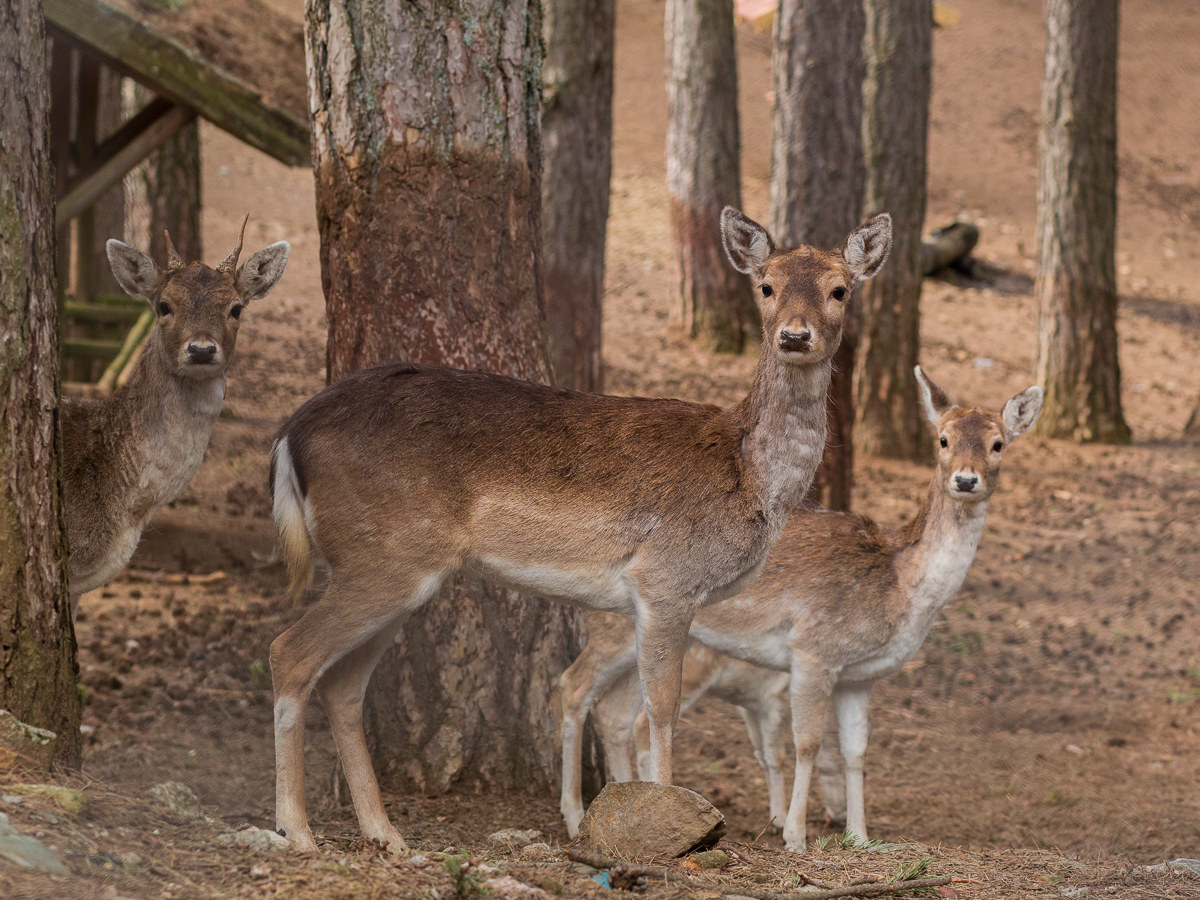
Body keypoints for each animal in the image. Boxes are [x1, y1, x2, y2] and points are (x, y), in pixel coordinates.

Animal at [270, 210, 892, 854]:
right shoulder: (666, 577)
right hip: (381, 557)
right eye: (766, 286)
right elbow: (660, 708)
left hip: (398, 572)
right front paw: (672, 824)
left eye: (840, 289)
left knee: (341, 685)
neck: (749, 480)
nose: (794, 336)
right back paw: (298, 831)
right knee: (289, 652)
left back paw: (386, 834)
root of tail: (289, 436)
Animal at [559, 367, 1041, 854]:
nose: (965, 480)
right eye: (943, 439)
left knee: (614, 713)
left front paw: (860, 837)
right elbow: (806, 742)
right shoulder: (814, 648)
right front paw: (795, 835)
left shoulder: (859, 676)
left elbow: (855, 751)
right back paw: (576, 816)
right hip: (614, 627)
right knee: (575, 686)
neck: (899, 592)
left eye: (998, 443)